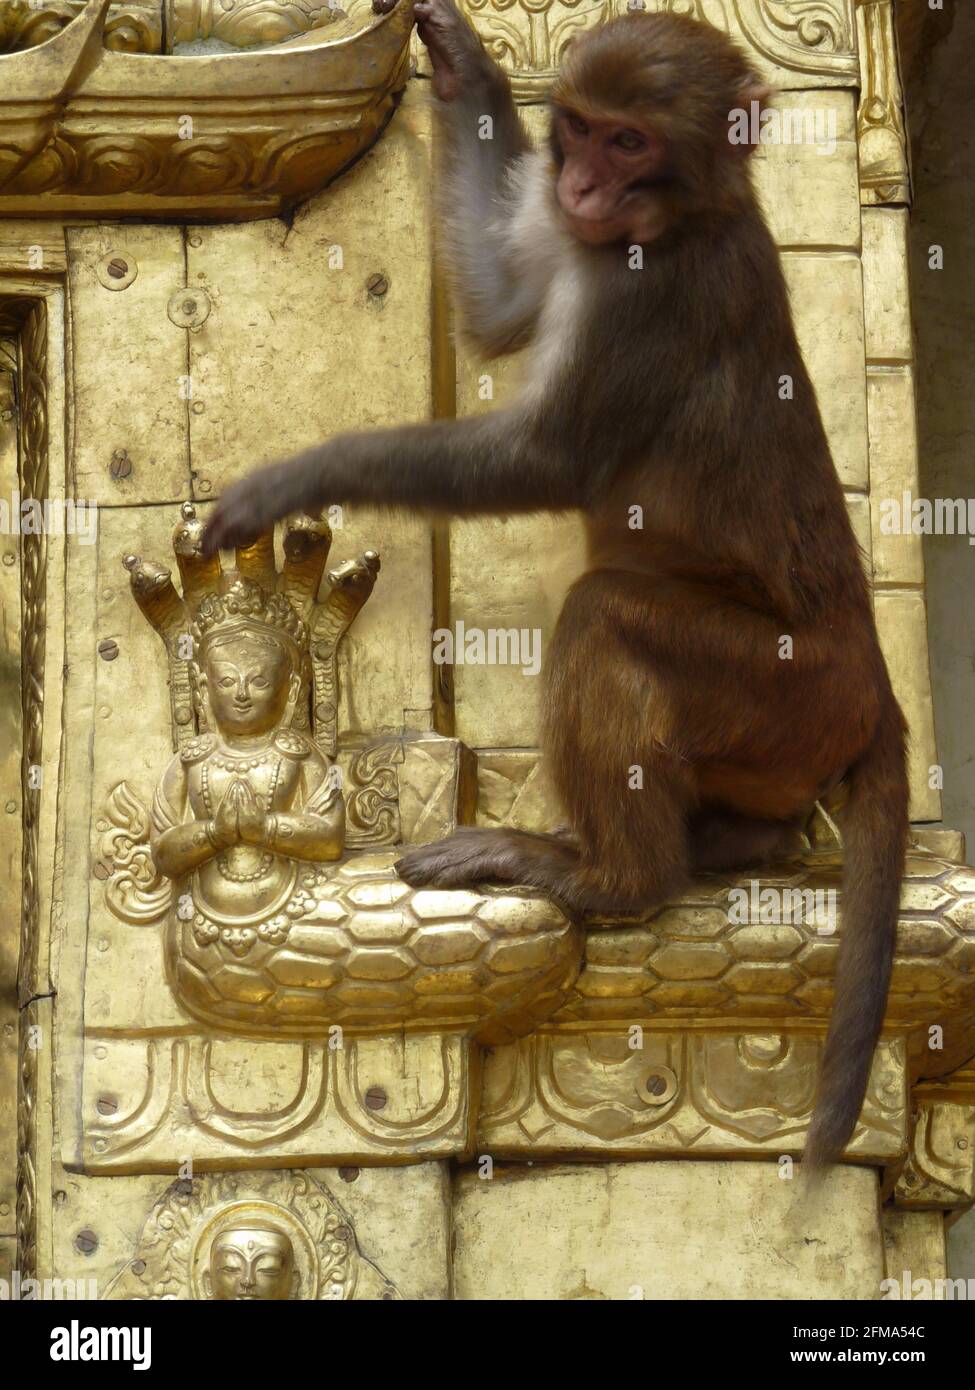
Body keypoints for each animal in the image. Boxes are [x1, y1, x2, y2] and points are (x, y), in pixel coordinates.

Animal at [201, 2, 906, 1173]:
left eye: (629, 141)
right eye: (575, 129)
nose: (576, 187)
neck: (689, 216)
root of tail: (877, 685)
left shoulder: (644, 294)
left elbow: (543, 459)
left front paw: (298, 475)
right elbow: (498, 303)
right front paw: (461, 60)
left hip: (785, 688)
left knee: (606, 613)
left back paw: (612, 877)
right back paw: (736, 842)